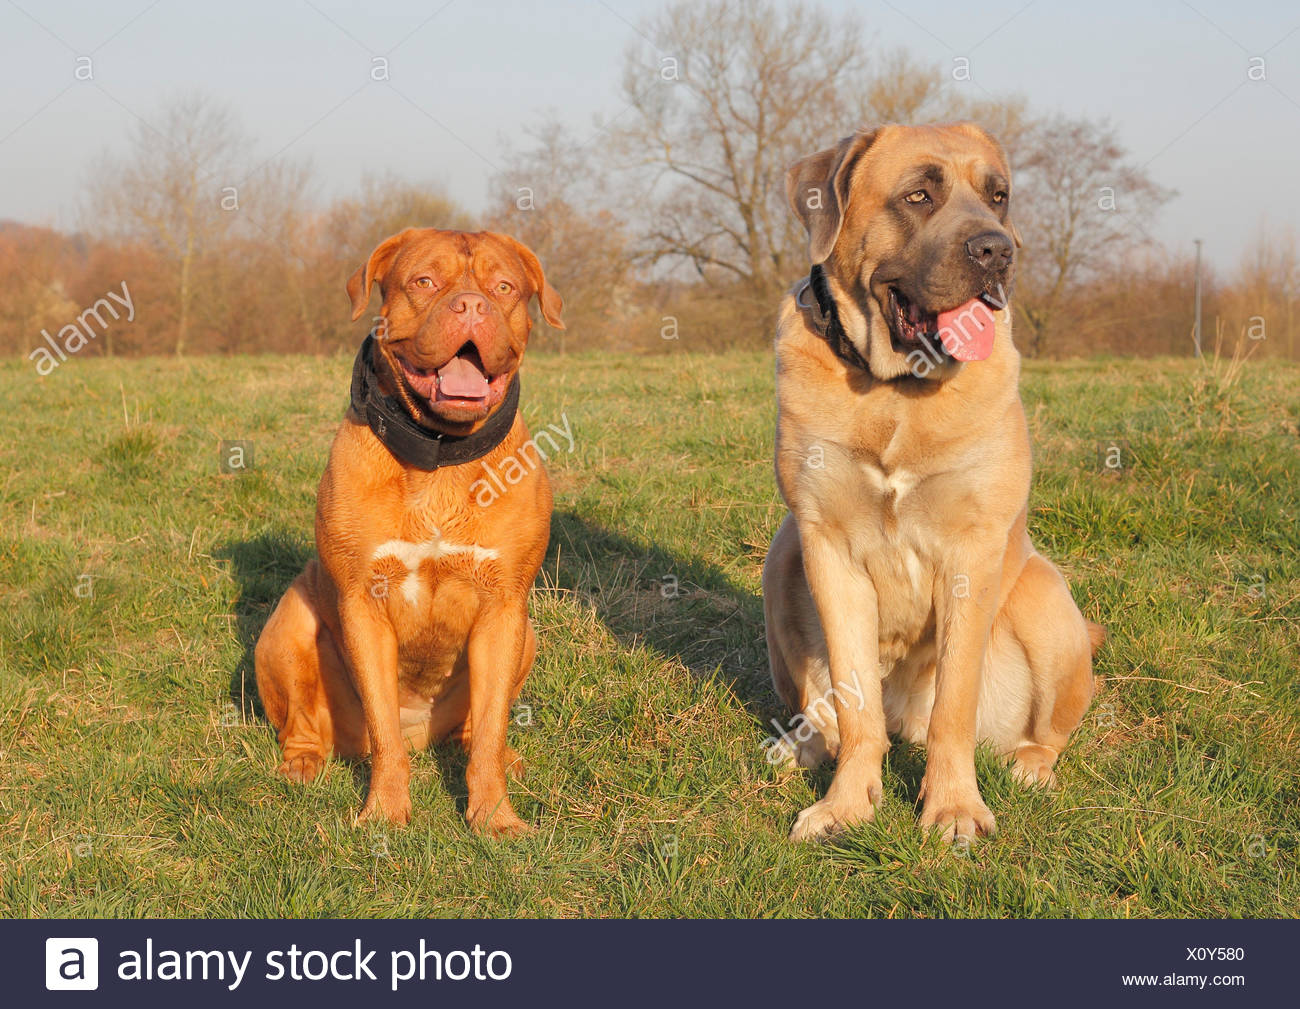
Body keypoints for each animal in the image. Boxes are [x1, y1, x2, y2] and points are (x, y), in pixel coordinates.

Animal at [252, 228, 559, 837]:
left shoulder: (503, 606)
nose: (472, 305)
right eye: (424, 281)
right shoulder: (363, 604)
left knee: (477, 731)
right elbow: (384, 733)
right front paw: (385, 815)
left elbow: (490, 729)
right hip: (286, 629)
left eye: (504, 287)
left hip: (527, 635)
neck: (440, 456)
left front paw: (495, 818)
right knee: (307, 725)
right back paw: (301, 765)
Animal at [764, 126, 1102, 847]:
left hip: (1045, 598)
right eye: (919, 195)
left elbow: (955, 705)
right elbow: (855, 704)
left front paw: (953, 809)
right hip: (783, 556)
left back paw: (1030, 765)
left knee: (1047, 731)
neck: (895, 392)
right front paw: (846, 805)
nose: (997, 250)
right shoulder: (826, 543)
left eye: (999, 196)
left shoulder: (971, 550)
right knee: (828, 710)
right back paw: (802, 743)